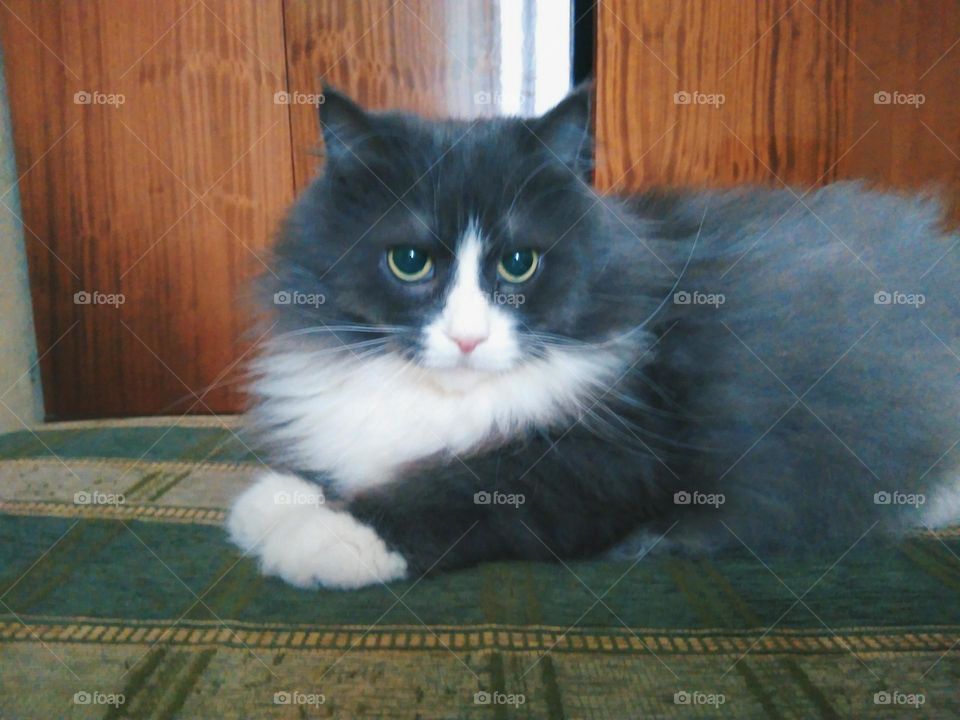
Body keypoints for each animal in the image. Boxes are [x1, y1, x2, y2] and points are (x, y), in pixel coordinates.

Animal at [227, 84, 960, 592]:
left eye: (518, 264)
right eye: (409, 262)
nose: (467, 338)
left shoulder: (610, 460)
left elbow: (457, 490)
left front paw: (326, 534)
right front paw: (273, 502)